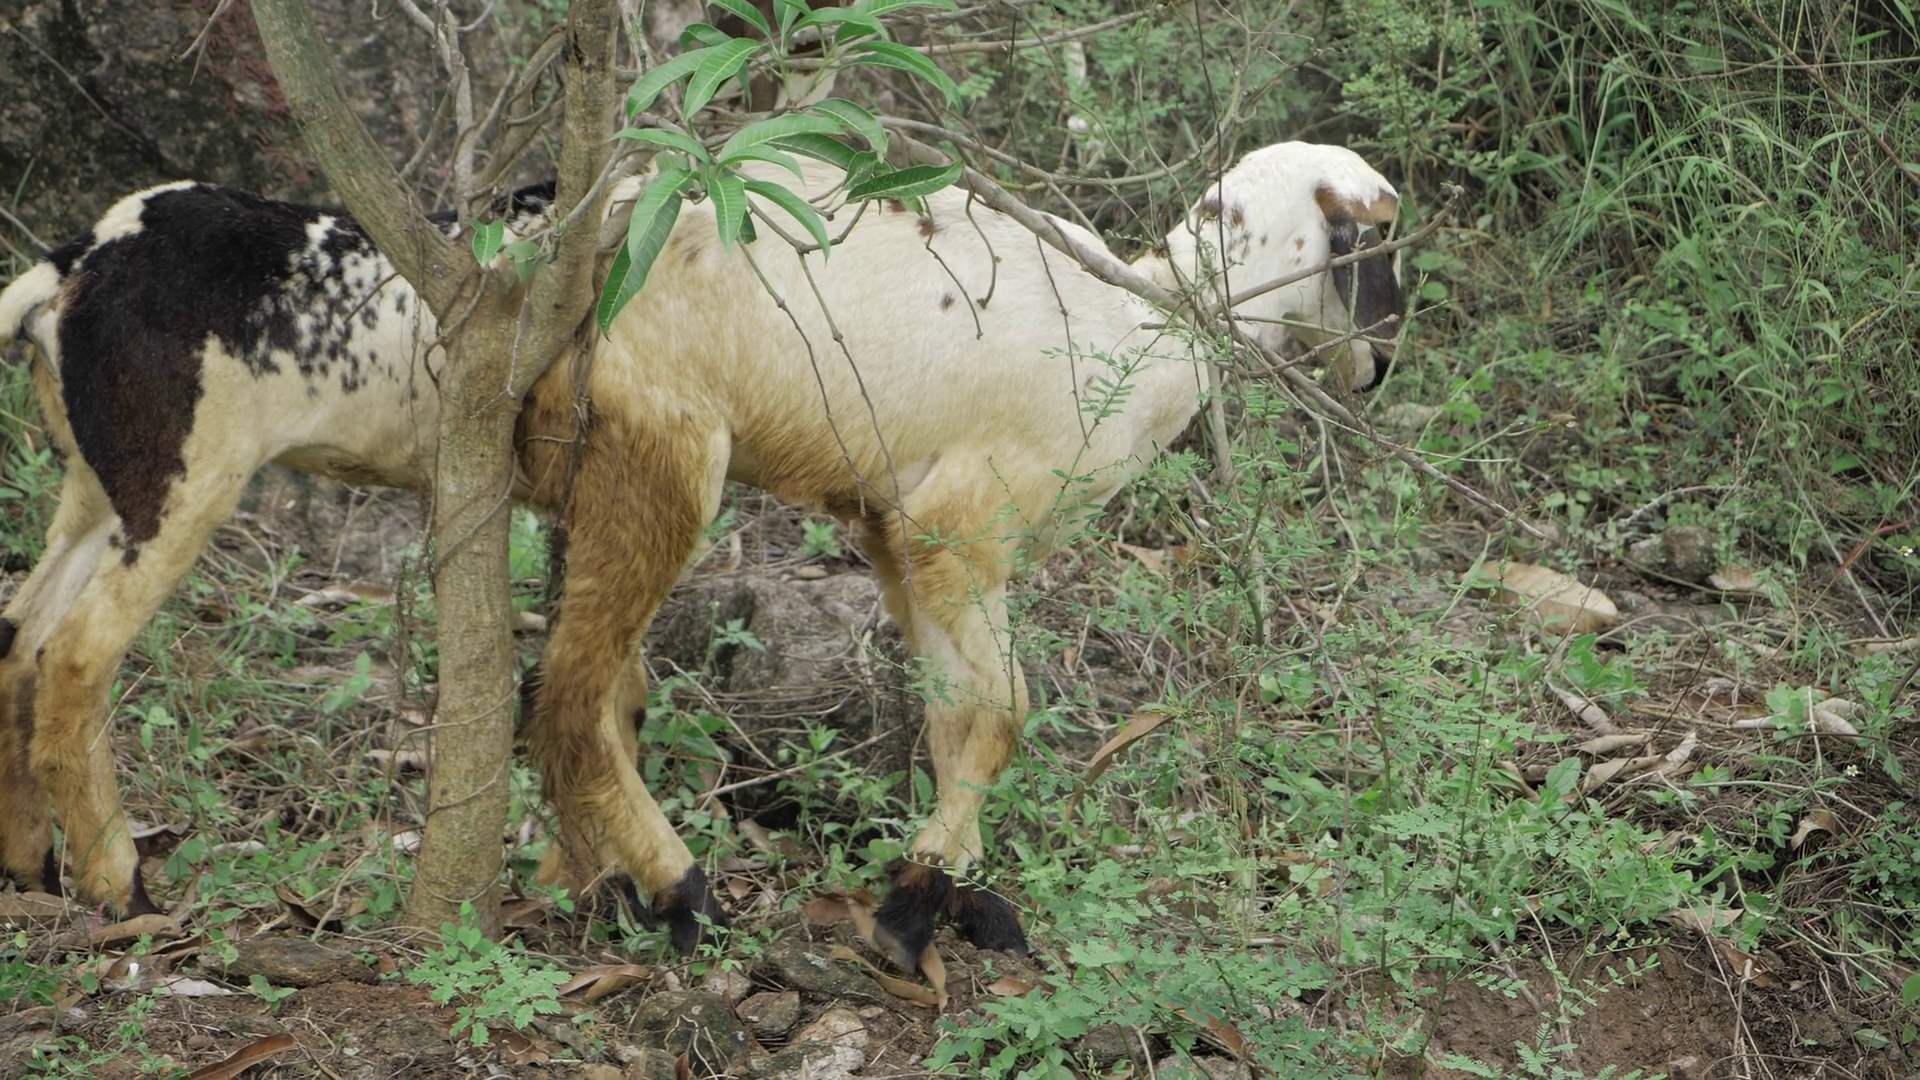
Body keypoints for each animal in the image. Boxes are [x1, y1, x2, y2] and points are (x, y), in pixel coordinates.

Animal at [0, 141, 1401, 965]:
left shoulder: (890, 526)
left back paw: (33, 865)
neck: (1146, 319)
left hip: (100, 481)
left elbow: (953, 716)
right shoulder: (960, 519)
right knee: (553, 695)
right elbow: (1001, 712)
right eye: (1378, 242)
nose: (1381, 369)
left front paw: (946, 897)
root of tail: (71, 266)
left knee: (20, 637)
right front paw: (915, 904)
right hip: (611, 456)